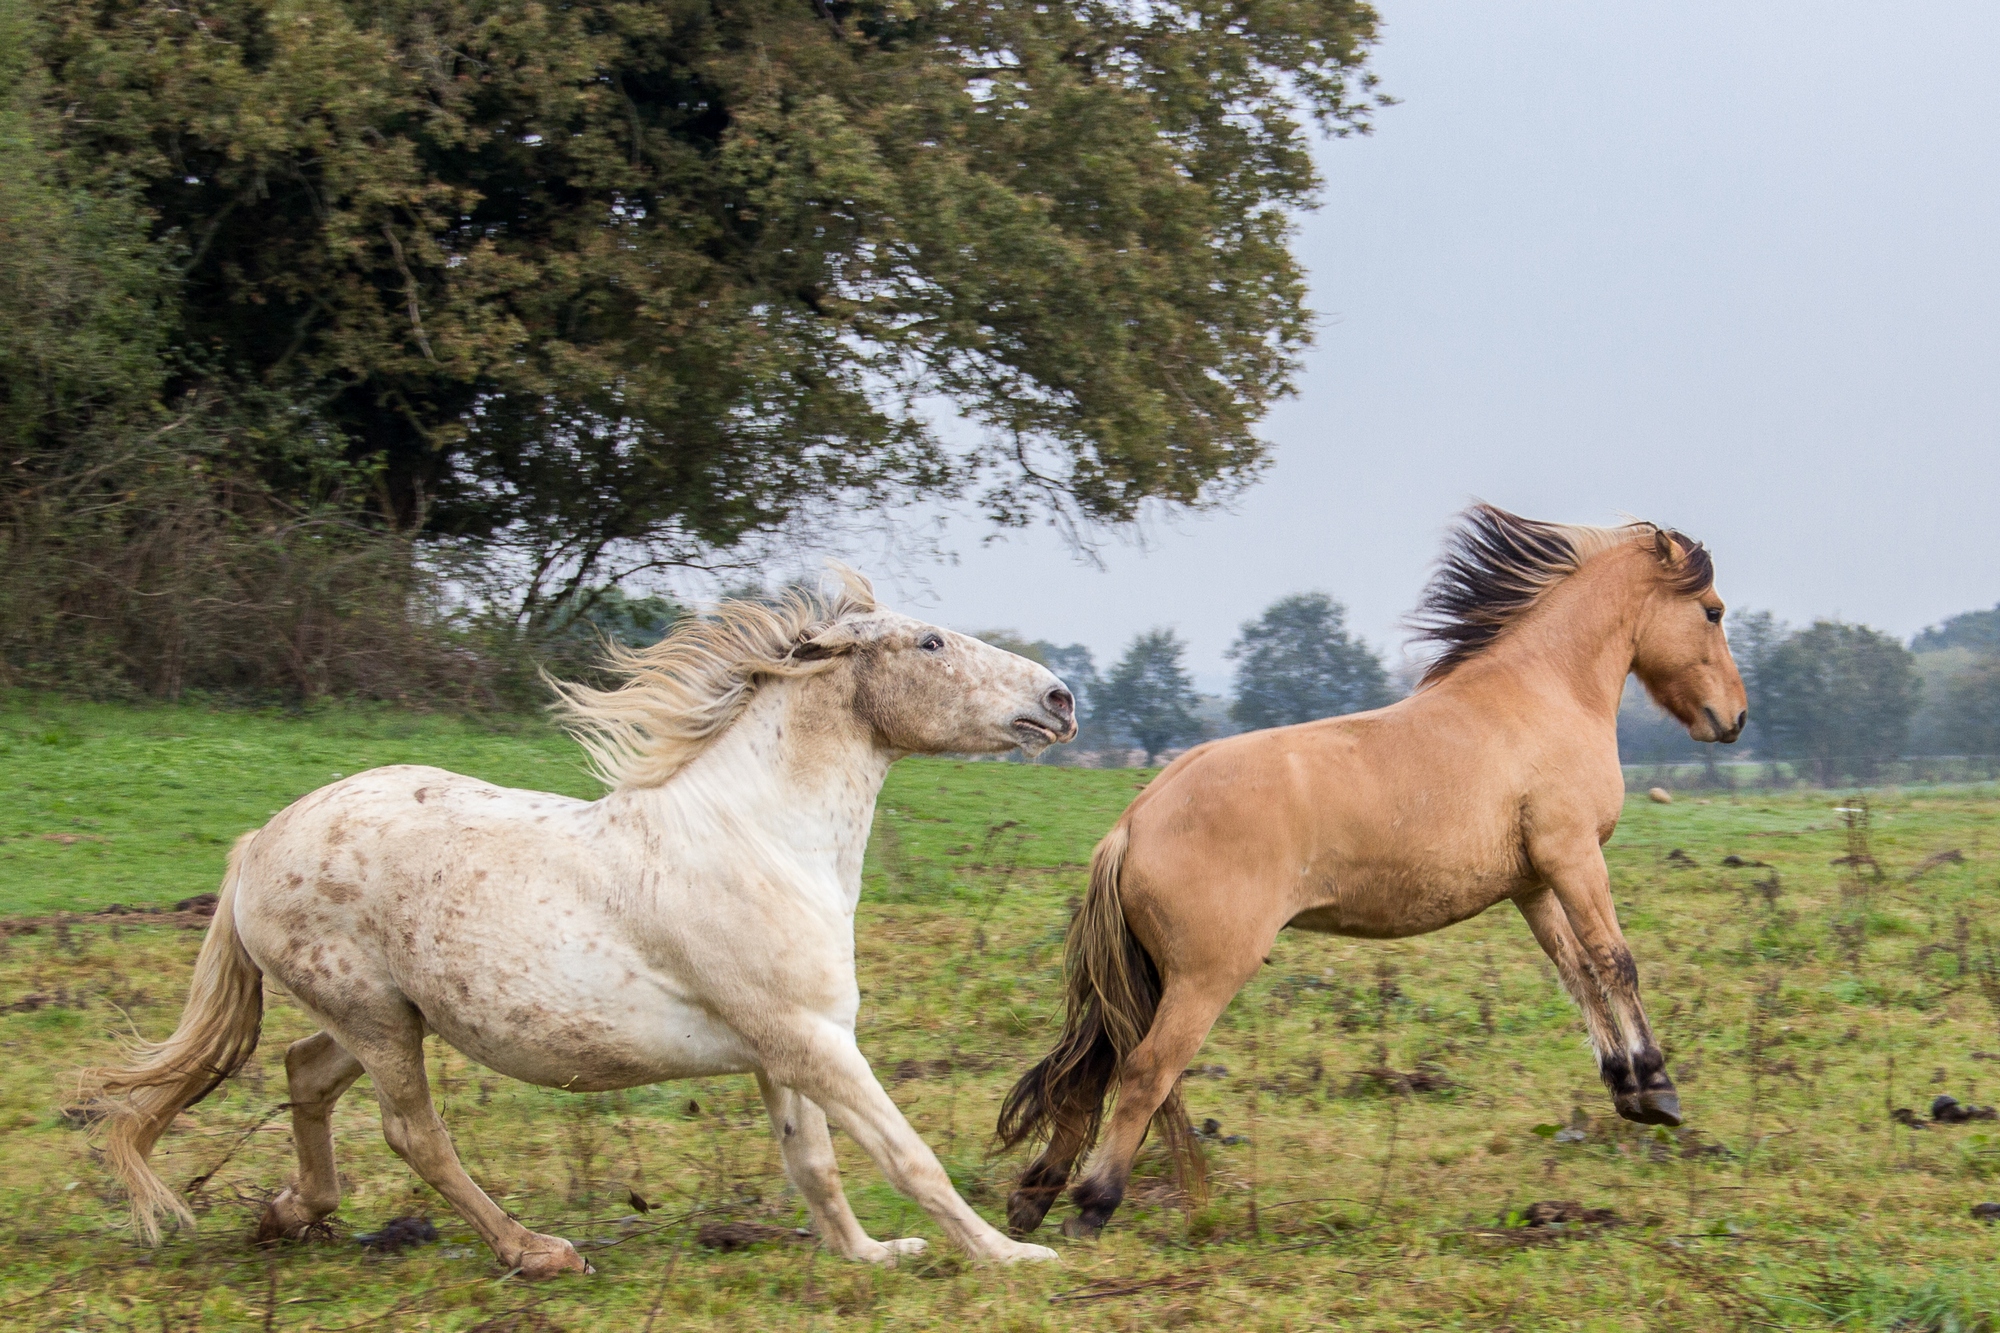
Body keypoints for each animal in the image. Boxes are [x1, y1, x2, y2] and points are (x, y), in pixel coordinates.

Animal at [1008, 506, 1744, 1232]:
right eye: (1712, 611)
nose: (1733, 717)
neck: (1542, 695)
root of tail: (1136, 820)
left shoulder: (1534, 883)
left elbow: (1578, 973)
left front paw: (1624, 1083)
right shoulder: (1573, 854)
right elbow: (1615, 961)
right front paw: (1655, 1089)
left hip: (1147, 974)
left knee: (1089, 1069)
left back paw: (1034, 1198)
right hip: (1202, 977)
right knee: (1144, 1070)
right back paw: (1093, 1203)